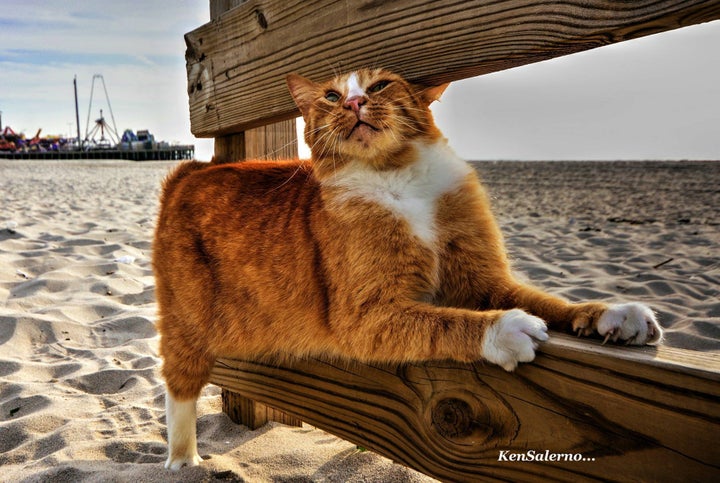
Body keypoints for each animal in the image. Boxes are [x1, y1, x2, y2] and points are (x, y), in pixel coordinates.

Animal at [153, 67, 664, 468]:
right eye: (331, 96)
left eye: (378, 86)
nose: (355, 101)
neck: (397, 178)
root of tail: (192, 170)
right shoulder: (366, 317)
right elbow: (447, 321)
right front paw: (504, 329)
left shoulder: (487, 282)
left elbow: (550, 301)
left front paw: (614, 314)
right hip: (186, 325)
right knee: (179, 388)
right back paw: (183, 460)